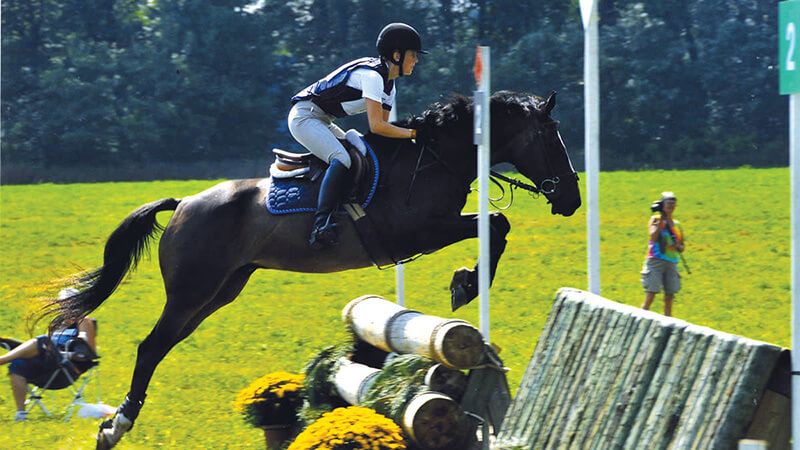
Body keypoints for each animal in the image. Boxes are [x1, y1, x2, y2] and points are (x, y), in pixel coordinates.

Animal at [45, 90, 580, 448]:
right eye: (550, 137)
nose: (572, 199)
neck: (433, 158)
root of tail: (184, 203)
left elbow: (496, 225)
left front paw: (466, 283)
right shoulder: (417, 232)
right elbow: (495, 222)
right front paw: (465, 284)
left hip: (219, 292)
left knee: (162, 345)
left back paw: (117, 422)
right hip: (191, 291)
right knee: (151, 347)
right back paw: (116, 427)